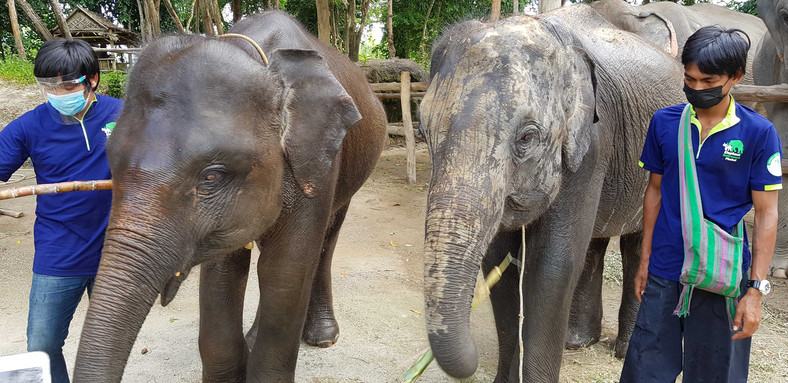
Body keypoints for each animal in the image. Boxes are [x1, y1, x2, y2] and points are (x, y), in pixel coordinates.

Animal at [72, 10, 386, 382]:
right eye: (111, 164)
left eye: (211, 176)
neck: (260, 58)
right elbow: (222, 272)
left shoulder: (318, 166)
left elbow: (286, 271)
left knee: (325, 243)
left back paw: (323, 336)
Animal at [422, 4, 688, 382]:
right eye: (422, 131)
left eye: (527, 137)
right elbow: (499, 262)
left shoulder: (593, 145)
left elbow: (553, 266)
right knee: (595, 244)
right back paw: (577, 342)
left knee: (640, 241)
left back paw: (623, 352)